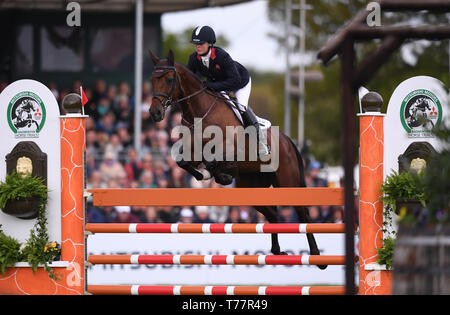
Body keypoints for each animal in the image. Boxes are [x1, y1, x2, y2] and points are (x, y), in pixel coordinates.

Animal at [149, 48, 326, 270]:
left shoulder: (230, 149)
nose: (154, 113)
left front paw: (220, 175)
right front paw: (206, 175)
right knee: (273, 213)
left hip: (288, 182)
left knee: (302, 214)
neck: (199, 111)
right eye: (152, 79)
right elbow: (183, 162)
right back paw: (277, 251)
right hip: (252, 187)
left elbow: (214, 161)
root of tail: (288, 141)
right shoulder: (193, 151)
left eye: (169, 79)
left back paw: (316, 255)